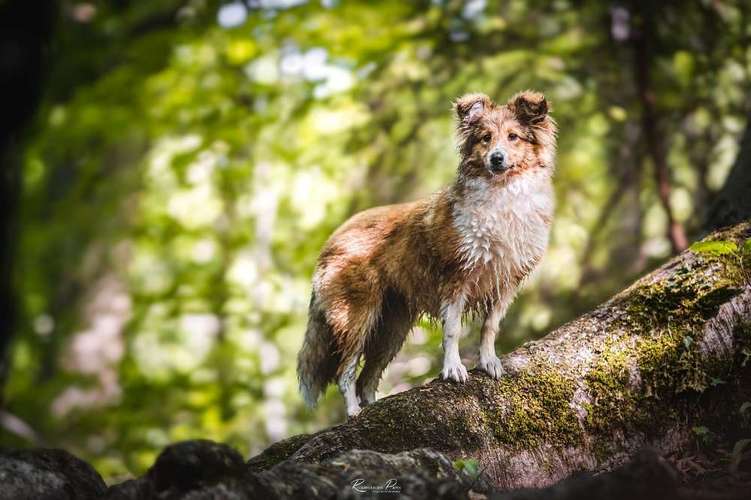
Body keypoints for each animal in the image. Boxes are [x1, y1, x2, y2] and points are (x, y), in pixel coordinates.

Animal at [296, 91, 556, 418]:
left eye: (513, 137)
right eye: (485, 138)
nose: (496, 158)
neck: (503, 196)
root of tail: (334, 238)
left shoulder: (506, 282)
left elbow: (490, 327)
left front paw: (489, 362)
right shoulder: (456, 277)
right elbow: (452, 330)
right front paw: (454, 369)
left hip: (391, 329)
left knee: (369, 376)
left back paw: (373, 405)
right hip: (358, 316)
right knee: (346, 370)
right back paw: (353, 411)